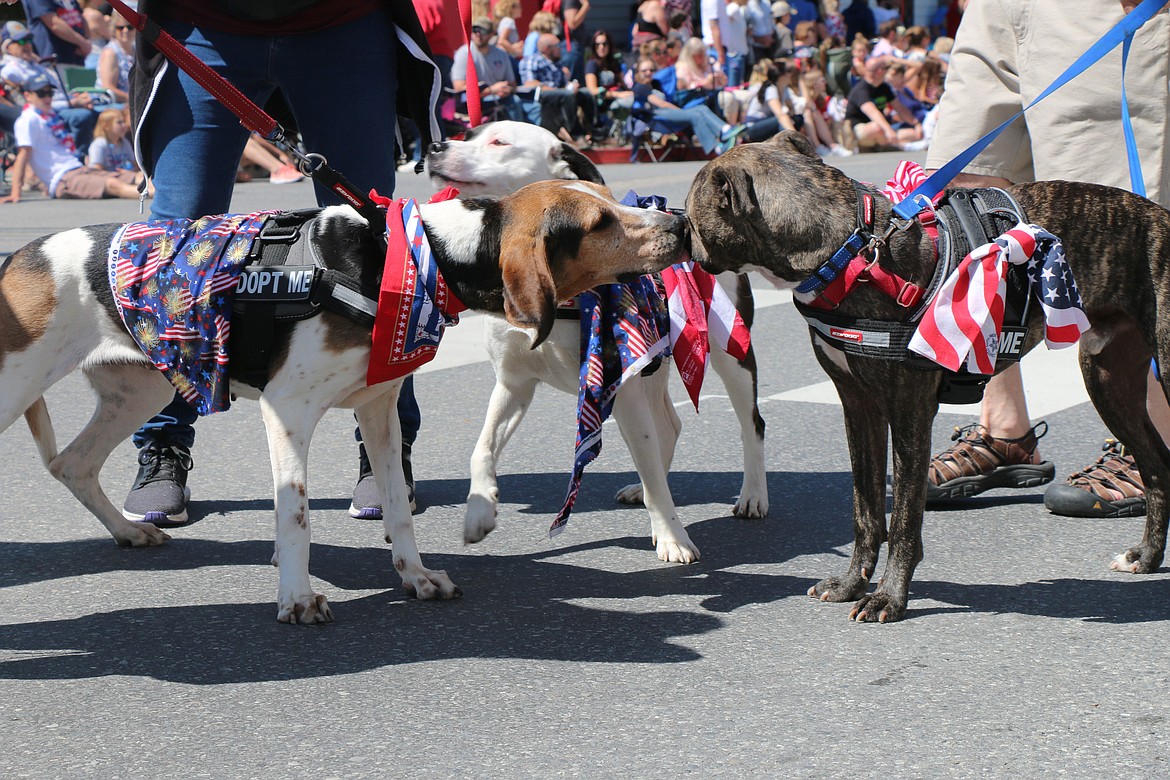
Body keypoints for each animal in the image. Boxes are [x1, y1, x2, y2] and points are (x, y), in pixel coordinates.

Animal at [683, 132, 1170, 622]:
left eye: (689, 210)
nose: (678, 230)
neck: (848, 251)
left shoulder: (910, 412)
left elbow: (903, 519)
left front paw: (889, 597)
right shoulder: (859, 407)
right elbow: (865, 508)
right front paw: (851, 583)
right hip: (1107, 380)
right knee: (1155, 467)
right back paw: (1146, 558)